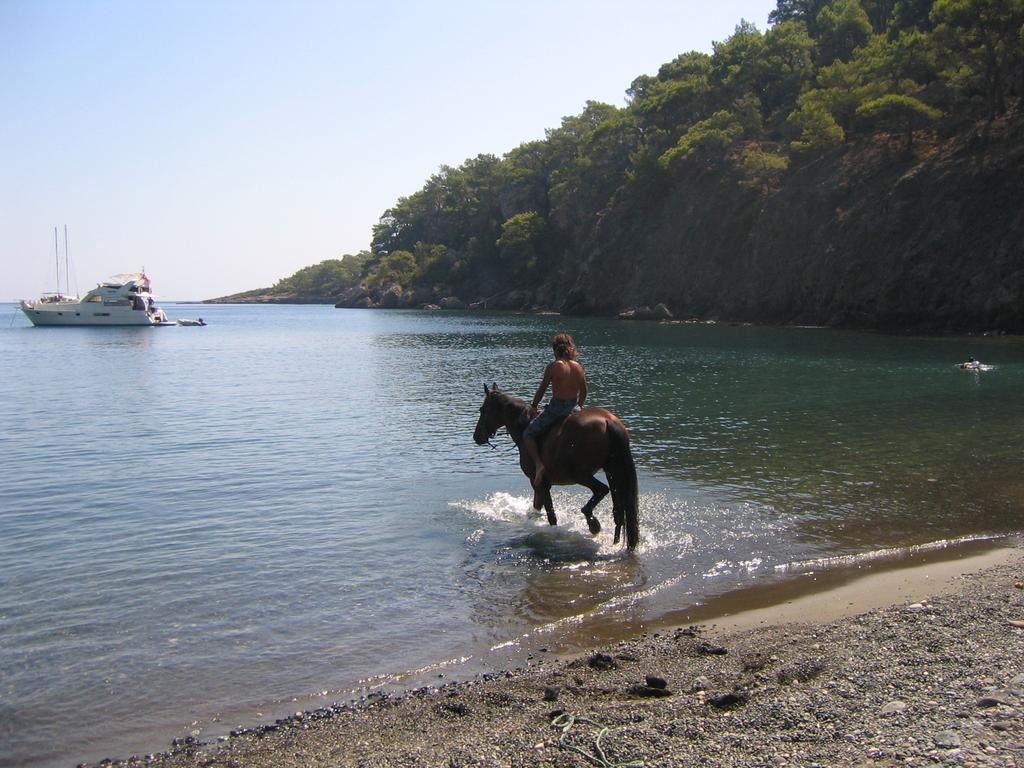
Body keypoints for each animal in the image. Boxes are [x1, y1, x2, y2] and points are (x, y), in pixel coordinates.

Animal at [473, 387, 638, 548]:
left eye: (482, 409)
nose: (476, 436)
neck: (524, 426)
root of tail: (607, 421)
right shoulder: (541, 485)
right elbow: (537, 509)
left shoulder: (539, 482)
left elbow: (550, 515)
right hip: (611, 471)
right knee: (618, 509)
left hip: (580, 474)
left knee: (601, 490)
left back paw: (593, 523)